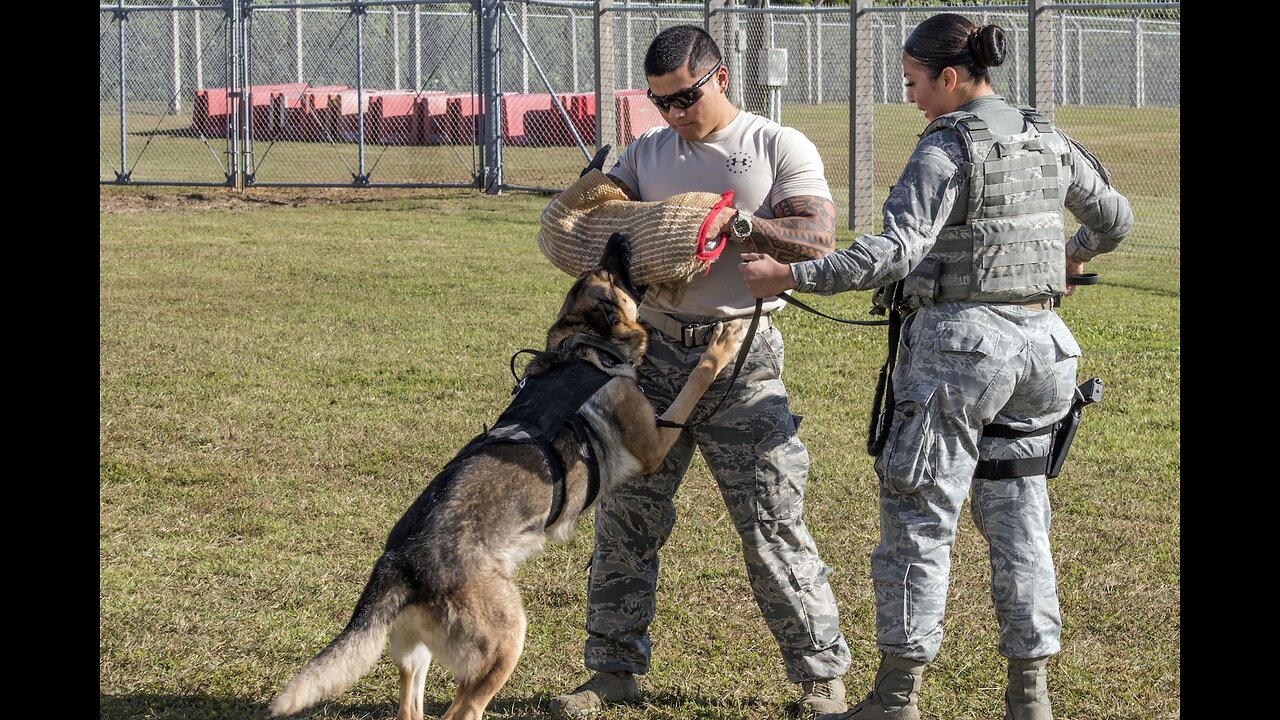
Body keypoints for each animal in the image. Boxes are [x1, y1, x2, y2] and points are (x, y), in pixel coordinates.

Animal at [271, 230, 747, 717]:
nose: (617, 234)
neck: (583, 348)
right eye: (611, 274)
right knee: (462, 710)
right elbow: (695, 383)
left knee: (412, 708)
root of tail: (401, 566)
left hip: (417, 656)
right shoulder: (653, 442)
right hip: (507, 640)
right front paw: (724, 343)